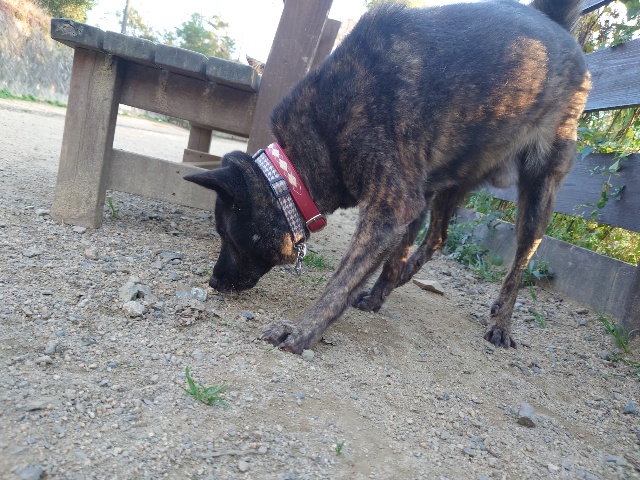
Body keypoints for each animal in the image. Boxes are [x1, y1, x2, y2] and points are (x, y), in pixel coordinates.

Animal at [184, 0, 591, 354]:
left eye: (227, 236)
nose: (213, 281)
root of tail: (556, 26)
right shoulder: (412, 200)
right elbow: (394, 254)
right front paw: (380, 292)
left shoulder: (392, 206)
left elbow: (341, 280)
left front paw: (301, 331)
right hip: (451, 181)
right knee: (438, 237)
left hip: (540, 187)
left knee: (520, 262)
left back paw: (501, 323)